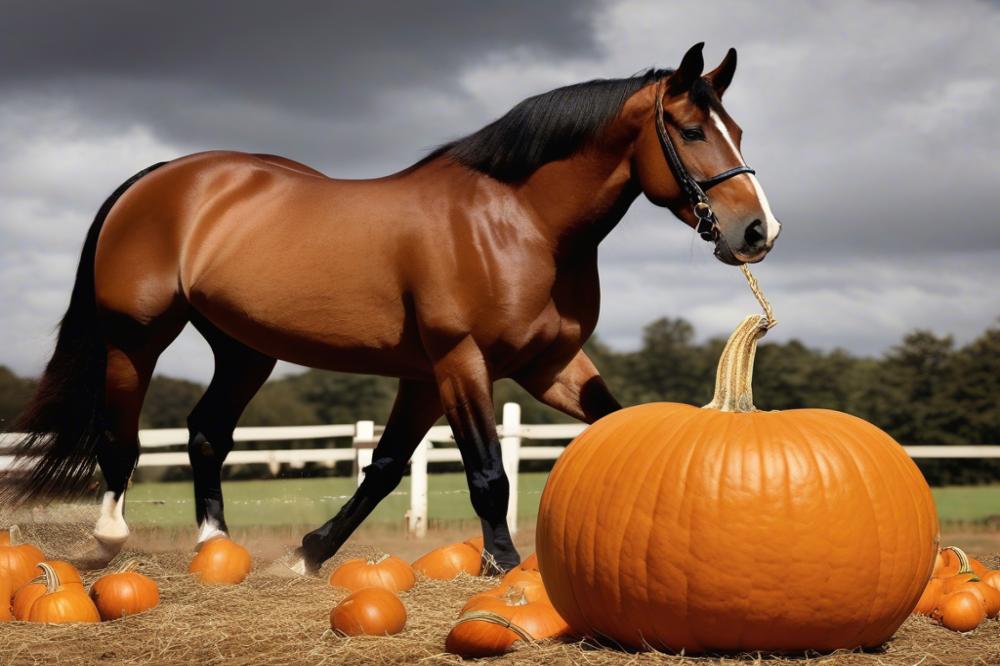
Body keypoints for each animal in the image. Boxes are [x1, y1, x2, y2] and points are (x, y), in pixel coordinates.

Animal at [7, 42, 780, 572]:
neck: (517, 223)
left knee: (205, 434)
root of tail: (161, 178)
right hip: (136, 337)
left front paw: (307, 555)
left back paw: (216, 548)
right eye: (690, 131)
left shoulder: (535, 367)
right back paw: (110, 540)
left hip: (244, 348)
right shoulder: (461, 363)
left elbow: (384, 467)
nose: (758, 232)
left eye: (739, 130)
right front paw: (502, 566)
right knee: (121, 436)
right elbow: (487, 473)